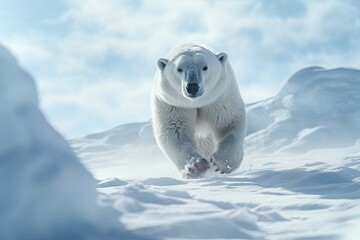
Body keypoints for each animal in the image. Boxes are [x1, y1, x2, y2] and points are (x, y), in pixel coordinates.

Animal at [150, 42, 246, 178]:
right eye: (179, 69)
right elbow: (175, 132)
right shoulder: (173, 104)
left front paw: (221, 162)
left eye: (205, 67)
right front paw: (195, 167)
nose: (192, 87)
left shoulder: (219, 98)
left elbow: (229, 123)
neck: (197, 102)